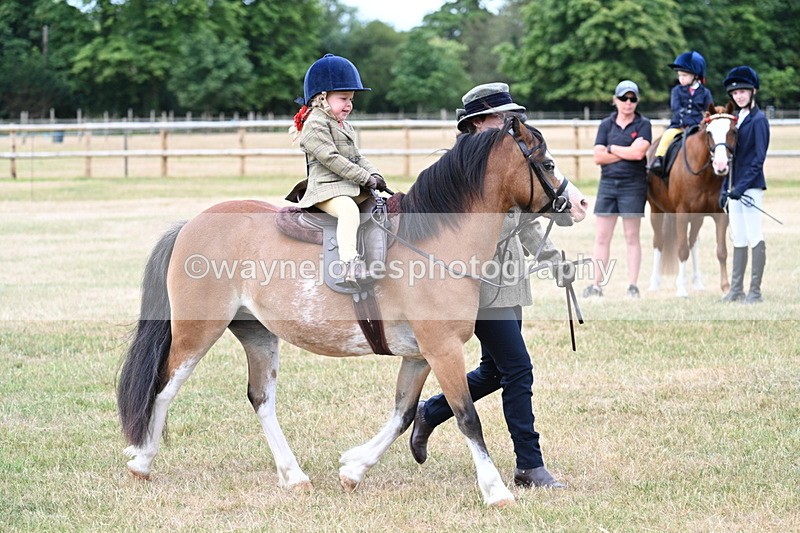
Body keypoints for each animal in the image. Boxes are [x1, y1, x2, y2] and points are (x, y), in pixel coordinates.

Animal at [116, 115, 588, 508]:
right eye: (547, 163)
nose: (580, 204)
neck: (434, 242)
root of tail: (191, 224)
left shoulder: (420, 355)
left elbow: (403, 415)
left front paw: (353, 469)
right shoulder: (443, 350)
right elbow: (467, 417)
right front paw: (495, 491)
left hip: (256, 332)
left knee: (261, 398)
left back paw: (294, 476)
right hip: (199, 330)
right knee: (165, 387)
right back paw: (142, 462)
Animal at [646, 103, 737, 297]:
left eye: (733, 131)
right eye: (709, 132)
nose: (721, 165)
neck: (705, 175)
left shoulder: (720, 216)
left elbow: (722, 251)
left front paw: (726, 288)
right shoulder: (682, 215)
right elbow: (682, 250)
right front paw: (681, 289)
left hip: (697, 218)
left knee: (693, 242)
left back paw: (698, 283)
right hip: (656, 211)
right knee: (659, 242)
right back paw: (654, 284)